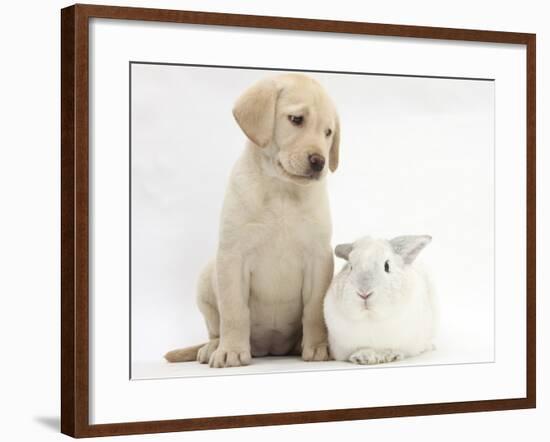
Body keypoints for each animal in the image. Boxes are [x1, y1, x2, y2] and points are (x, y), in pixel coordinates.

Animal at [165, 74, 340, 368]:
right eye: (296, 119)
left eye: (328, 132)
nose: (319, 162)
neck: (282, 190)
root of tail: (270, 349)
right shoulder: (233, 257)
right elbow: (235, 311)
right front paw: (232, 351)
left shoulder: (319, 259)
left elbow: (315, 310)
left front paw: (318, 346)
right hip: (206, 279)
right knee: (216, 327)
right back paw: (213, 347)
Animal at [326, 233, 438, 364]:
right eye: (350, 267)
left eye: (387, 266)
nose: (364, 293)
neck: (371, 318)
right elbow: (363, 349)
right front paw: (363, 357)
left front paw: (390, 355)